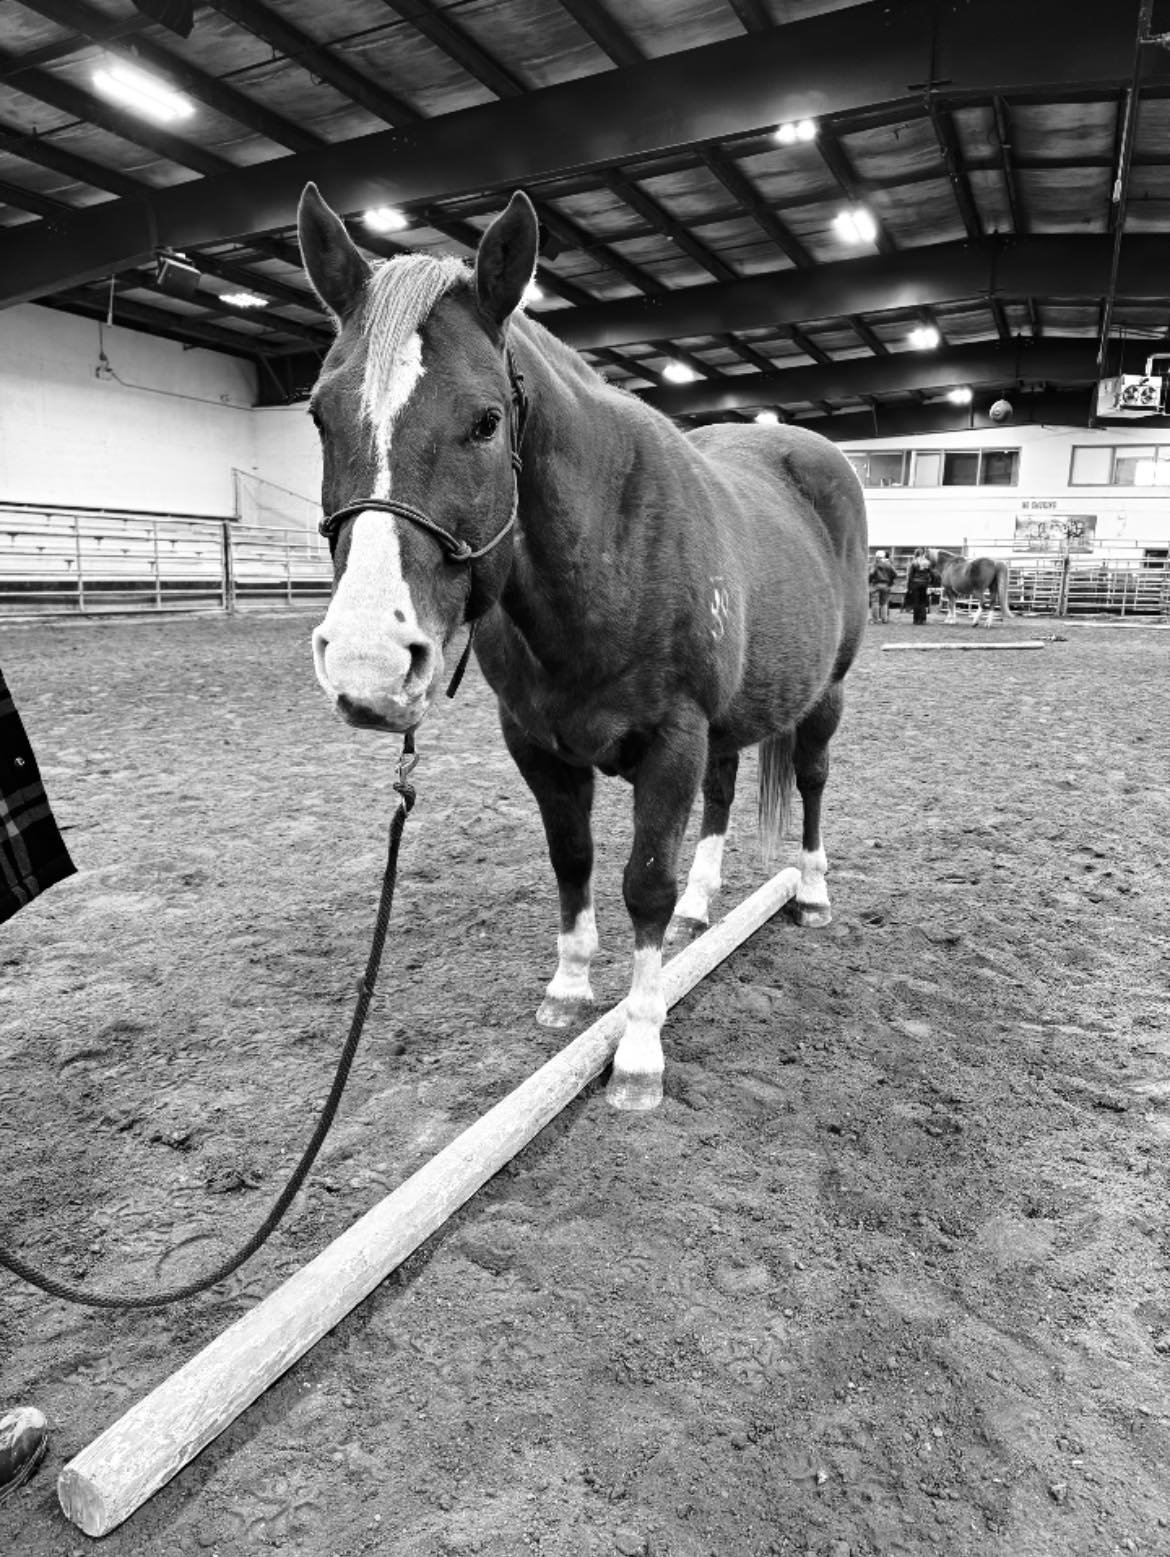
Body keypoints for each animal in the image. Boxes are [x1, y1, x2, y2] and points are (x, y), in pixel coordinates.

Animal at [297, 182, 868, 1112]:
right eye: (319, 415)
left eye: (486, 421)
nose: (368, 664)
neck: (607, 560)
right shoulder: (536, 742)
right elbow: (573, 859)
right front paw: (569, 987)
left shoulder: (672, 741)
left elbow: (643, 882)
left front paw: (637, 1048)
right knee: (722, 790)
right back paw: (704, 903)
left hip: (826, 694)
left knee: (813, 780)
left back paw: (812, 891)